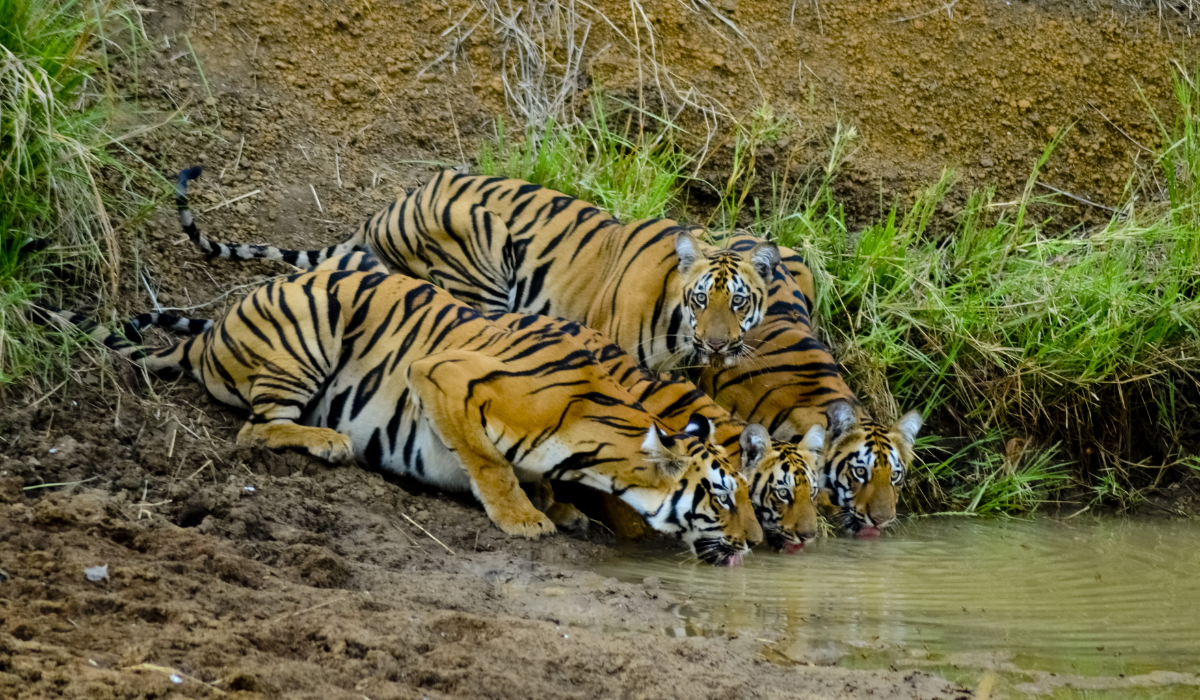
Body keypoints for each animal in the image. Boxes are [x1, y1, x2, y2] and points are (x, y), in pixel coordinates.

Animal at [38, 250, 764, 566]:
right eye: (724, 496)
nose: (757, 543)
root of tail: (211, 331)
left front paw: (555, 506)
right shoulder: (441, 373)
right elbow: (488, 462)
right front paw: (524, 519)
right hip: (312, 324)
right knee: (253, 430)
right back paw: (327, 441)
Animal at [176, 167, 781, 372]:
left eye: (739, 302)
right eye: (701, 299)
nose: (719, 344)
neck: (679, 332)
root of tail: (385, 208)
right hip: (482, 244)